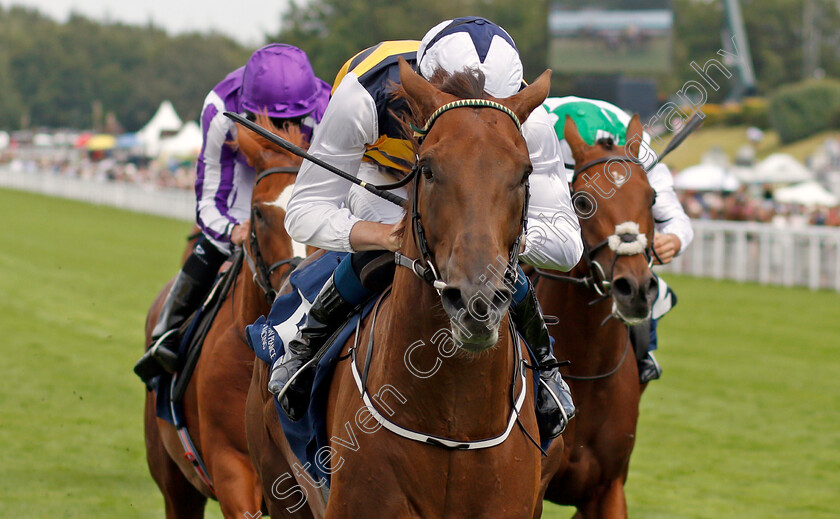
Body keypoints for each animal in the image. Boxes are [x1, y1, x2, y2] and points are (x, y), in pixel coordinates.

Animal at [246, 59, 556, 516]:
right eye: (427, 168)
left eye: (526, 172)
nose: (476, 301)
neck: (452, 424)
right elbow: (308, 207)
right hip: (279, 482)